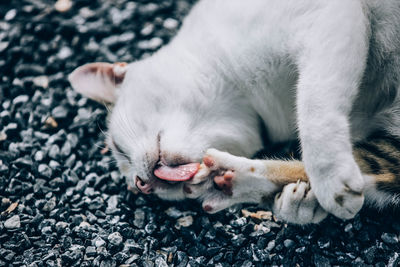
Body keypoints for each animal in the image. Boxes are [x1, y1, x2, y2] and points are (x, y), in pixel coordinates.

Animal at [68, 0, 400, 225]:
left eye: (118, 148)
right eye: (136, 187)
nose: (141, 185)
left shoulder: (327, 18)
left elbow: (314, 104)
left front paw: (329, 176)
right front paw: (300, 203)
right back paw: (232, 180)